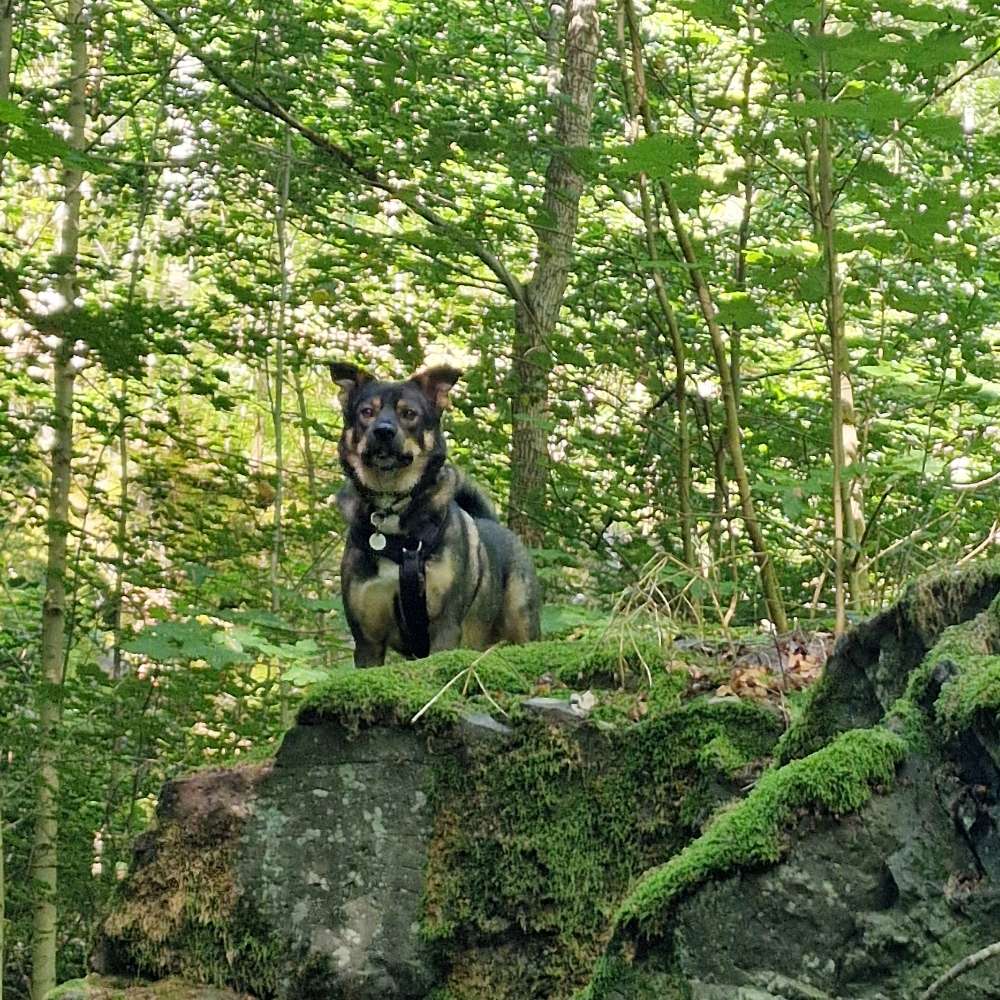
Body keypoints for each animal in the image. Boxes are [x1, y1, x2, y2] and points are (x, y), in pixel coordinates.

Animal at [332, 364, 544, 668]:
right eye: (366, 412)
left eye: (409, 414)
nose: (383, 431)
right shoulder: (367, 640)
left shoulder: (444, 626)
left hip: (522, 619)